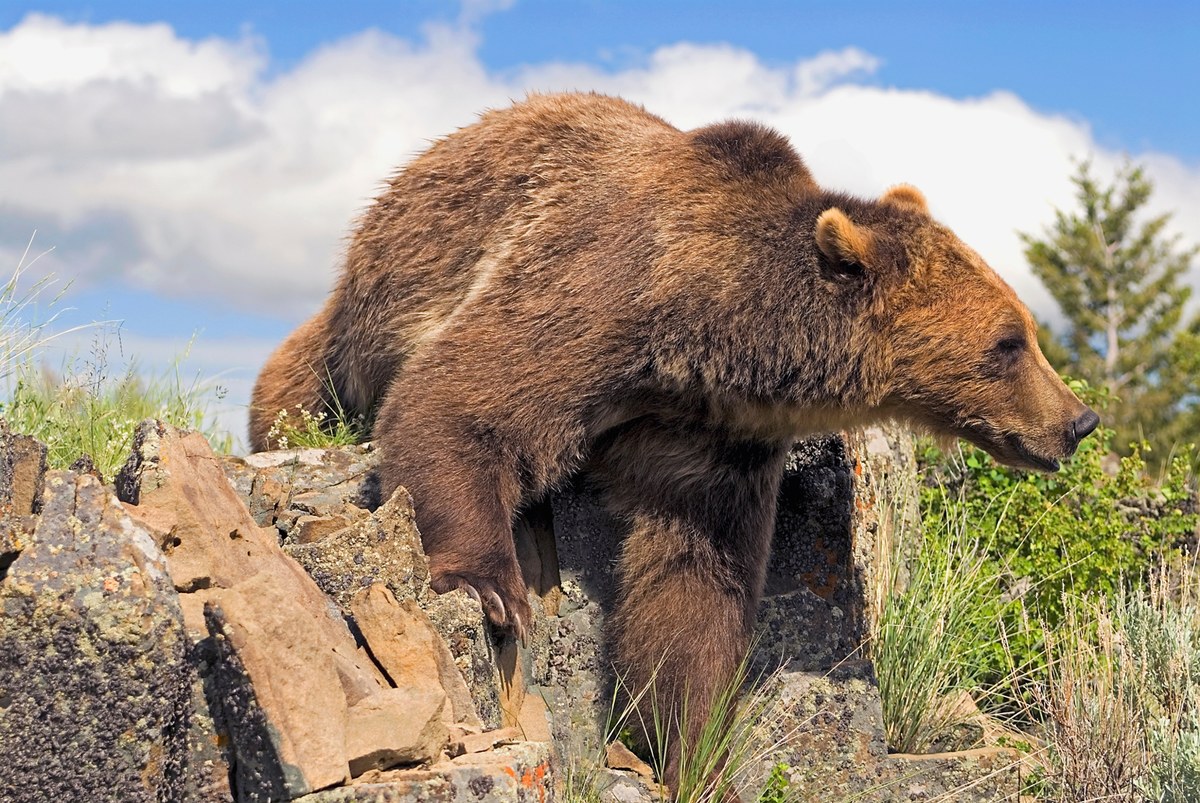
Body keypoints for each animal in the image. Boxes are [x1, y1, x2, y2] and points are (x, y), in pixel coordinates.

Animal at [253, 90, 1099, 787]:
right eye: (1008, 341)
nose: (1077, 422)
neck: (703, 333)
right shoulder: (594, 292)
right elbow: (459, 398)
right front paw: (494, 589)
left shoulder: (709, 438)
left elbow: (691, 586)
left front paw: (696, 750)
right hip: (358, 318)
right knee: (297, 381)